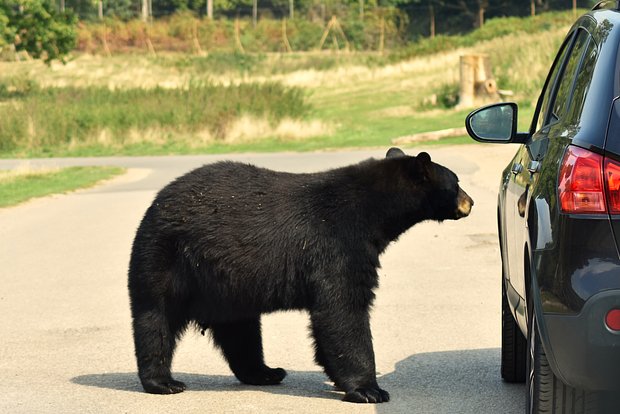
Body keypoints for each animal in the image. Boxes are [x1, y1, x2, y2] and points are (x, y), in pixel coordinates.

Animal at [128, 147, 472, 402]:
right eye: (455, 182)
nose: (470, 202)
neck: (372, 212)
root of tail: (157, 202)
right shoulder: (337, 245)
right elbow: (343, 309)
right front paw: (369, 390)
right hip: (166, 257)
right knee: (156, 318)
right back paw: (163, 382)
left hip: (229, 284)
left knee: (240, 330)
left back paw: (266, 372)